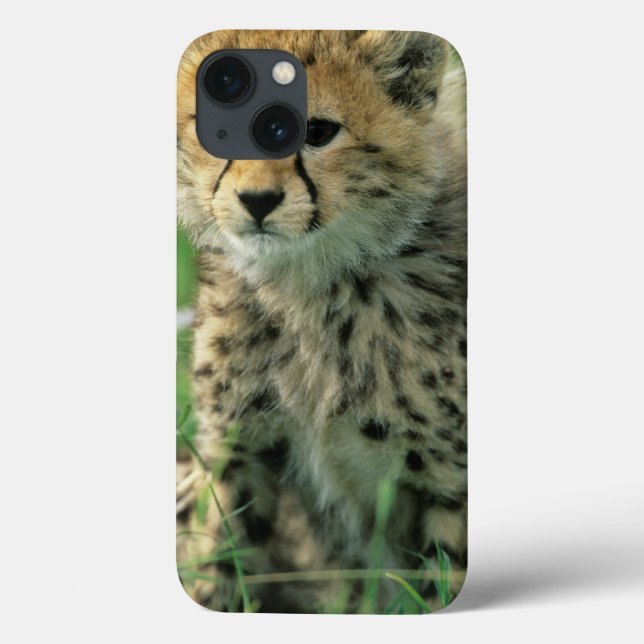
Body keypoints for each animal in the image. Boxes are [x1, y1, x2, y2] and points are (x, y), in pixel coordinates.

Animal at [176, 29, 467, 614]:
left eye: (316, 132)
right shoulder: (238, 448)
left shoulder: (449, 480)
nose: (257, 201)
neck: (312, 286)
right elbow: (218, 561)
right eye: (216, 130)